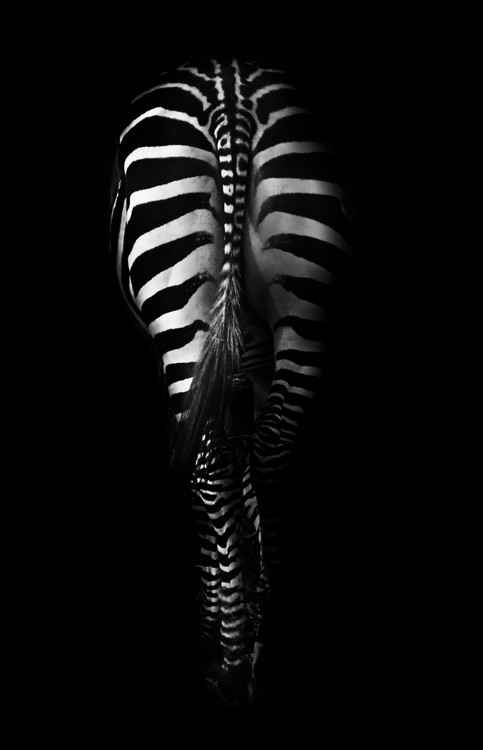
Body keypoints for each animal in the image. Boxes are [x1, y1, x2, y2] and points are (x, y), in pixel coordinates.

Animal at [109, 57, 353, 707]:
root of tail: (230, 91)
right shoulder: (251, 355)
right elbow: (246, 462)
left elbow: (207, 471)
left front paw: (211, 617)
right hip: (304, 295)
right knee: (269, 449)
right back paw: (265, 645)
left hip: (181, 318)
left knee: (209, 459)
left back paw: (233, 655)